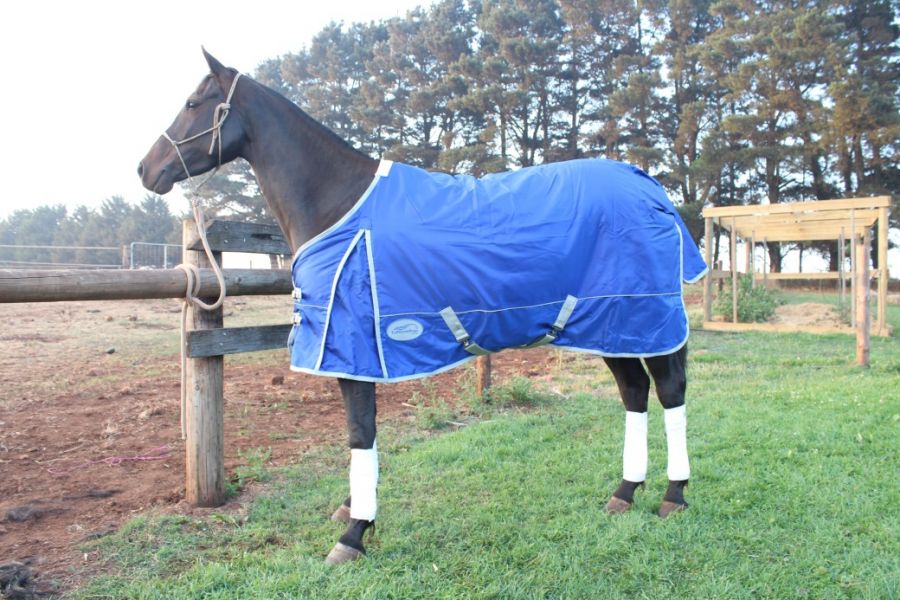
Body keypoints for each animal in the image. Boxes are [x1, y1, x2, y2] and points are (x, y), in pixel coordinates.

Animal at [139, 49, 706, 565]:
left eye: (193, 103)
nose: (146, 168)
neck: (338, 202)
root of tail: (648, 184)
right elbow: (362, 436)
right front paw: (355, 510)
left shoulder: (354, 347)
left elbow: (360, 432)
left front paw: (354, 534)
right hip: (612, 328)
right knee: (634, 393)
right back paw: (624, 492)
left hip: (644, 319)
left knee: (670, 392)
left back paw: (673, 496)